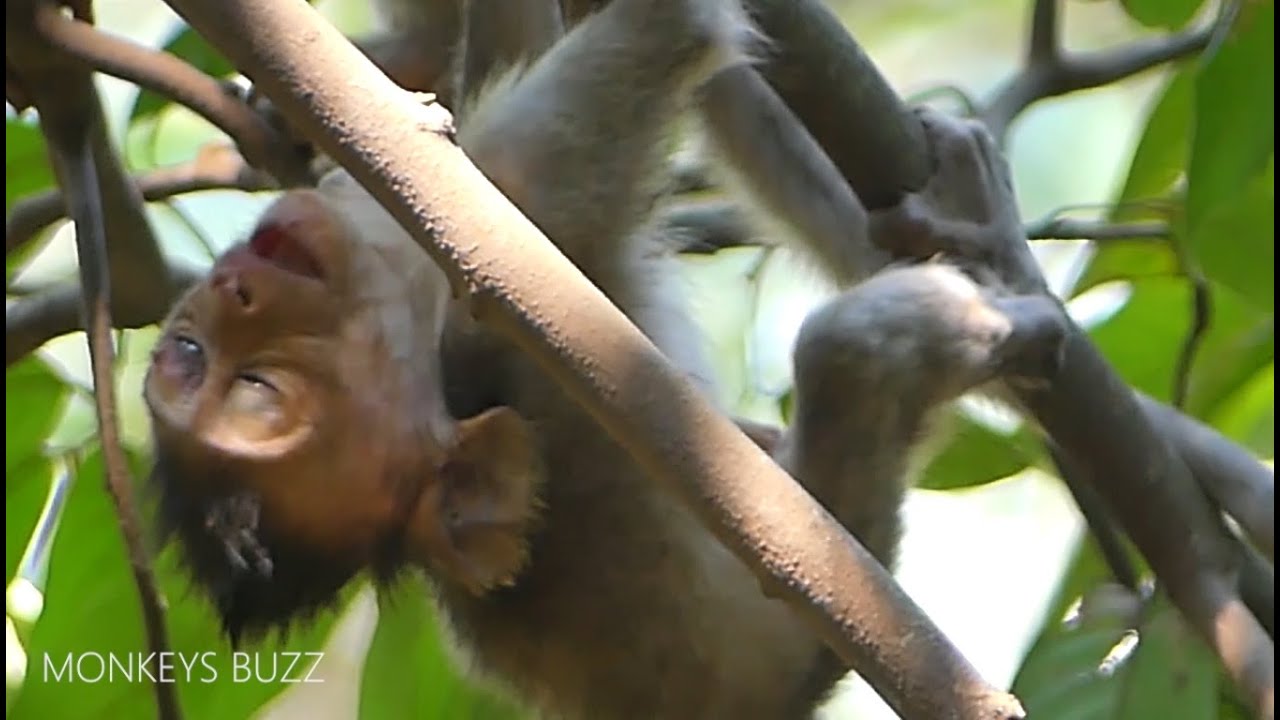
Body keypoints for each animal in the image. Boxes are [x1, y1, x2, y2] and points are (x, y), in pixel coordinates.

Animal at [144, 0, 1067, 717]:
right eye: (264, 390)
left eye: (221, 372)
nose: (236, 292)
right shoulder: (515, 242)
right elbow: (676, 31)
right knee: (848, 355)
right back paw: (999, 280)